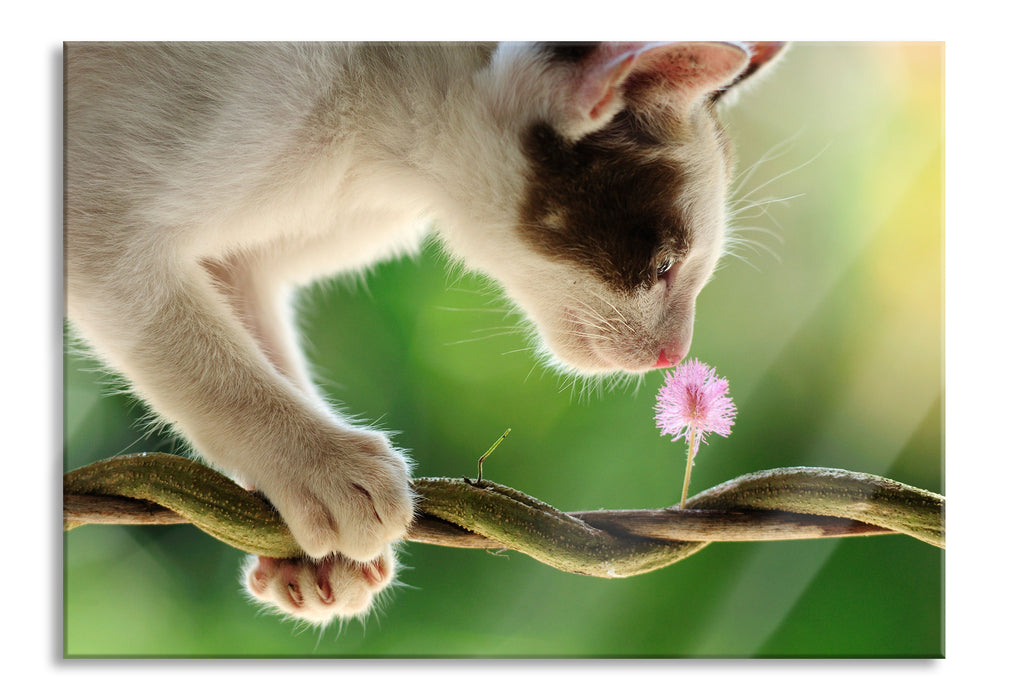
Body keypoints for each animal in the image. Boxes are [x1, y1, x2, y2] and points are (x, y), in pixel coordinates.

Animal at [63, 41, 787, 629]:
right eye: (664, 265)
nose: (673, 351)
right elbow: (201, 352)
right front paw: (319, 466)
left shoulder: (253, 245)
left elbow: (245, 310)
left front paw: (303, 543)